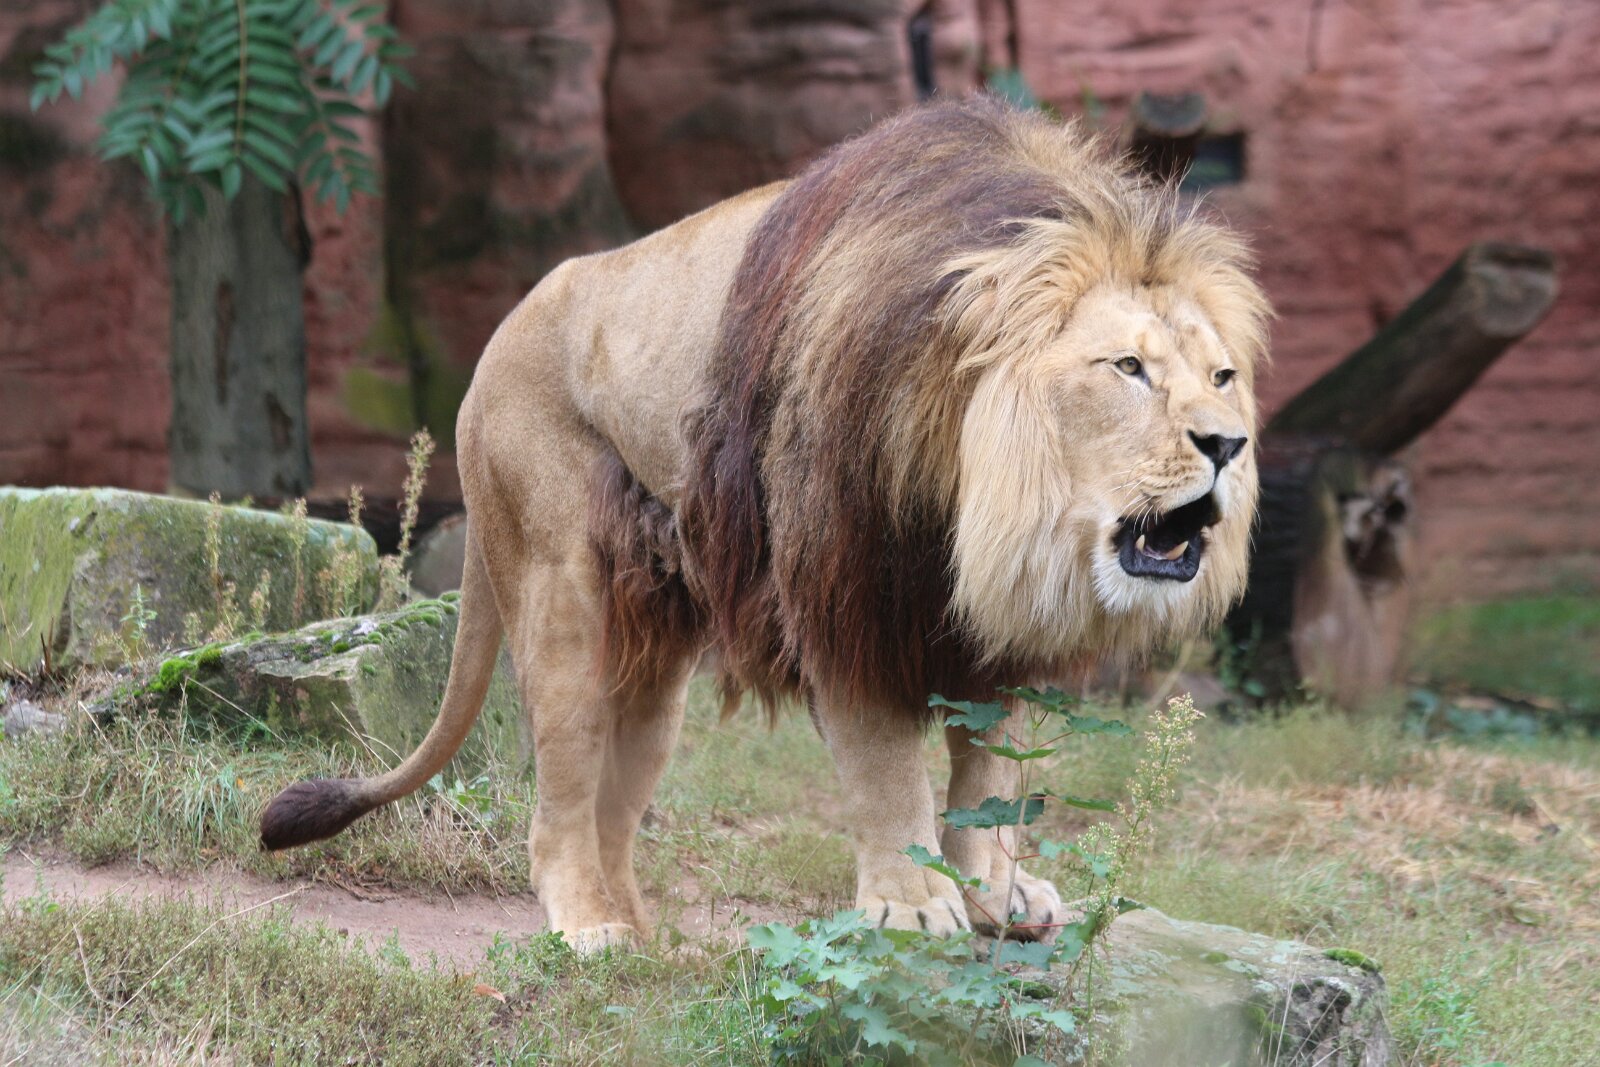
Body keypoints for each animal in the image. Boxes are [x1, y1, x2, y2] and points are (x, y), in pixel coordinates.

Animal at [260, 96, 1270, 954]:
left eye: (1221, 376)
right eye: (1128, 368)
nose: (1228, 443)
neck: (980, 499)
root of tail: (492, 348)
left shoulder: (994, 626)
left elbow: (993, 772)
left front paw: (998, 894)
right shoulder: (843, 585)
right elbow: (886, 766)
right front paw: (913, 904)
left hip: (656, 665)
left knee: (618, 799)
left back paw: (649, 942)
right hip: (559, 586)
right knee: (560, 793)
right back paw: (588, 924)